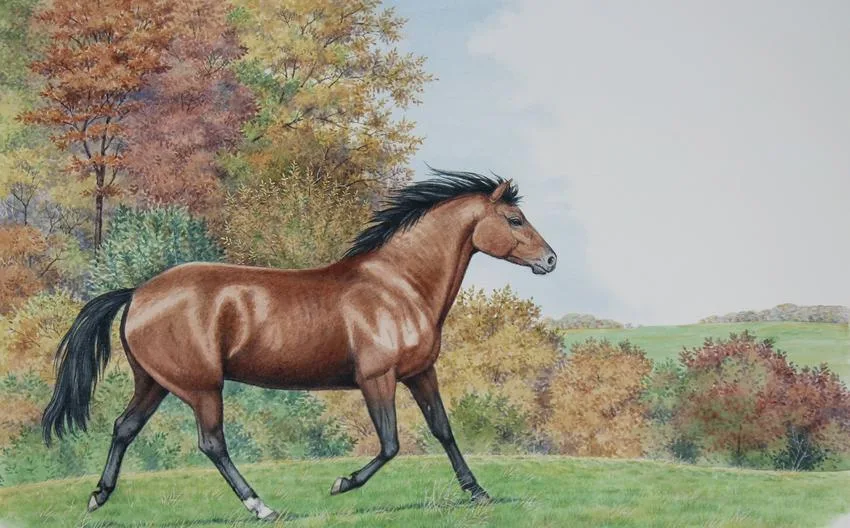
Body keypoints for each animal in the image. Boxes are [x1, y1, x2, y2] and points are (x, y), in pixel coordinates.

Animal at [41, 169, 557, 521]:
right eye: (514, 219)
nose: (551, 260)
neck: (399, 285)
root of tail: (137, 292)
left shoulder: (419, 373)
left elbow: (443, 431)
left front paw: (478, 492)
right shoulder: (377, 378)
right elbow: (390, 444)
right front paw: (342, 483)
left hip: (155, 382)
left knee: (124, 428)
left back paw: (98, 497)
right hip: (201, 387)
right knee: (212, 443)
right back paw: (261, 507)